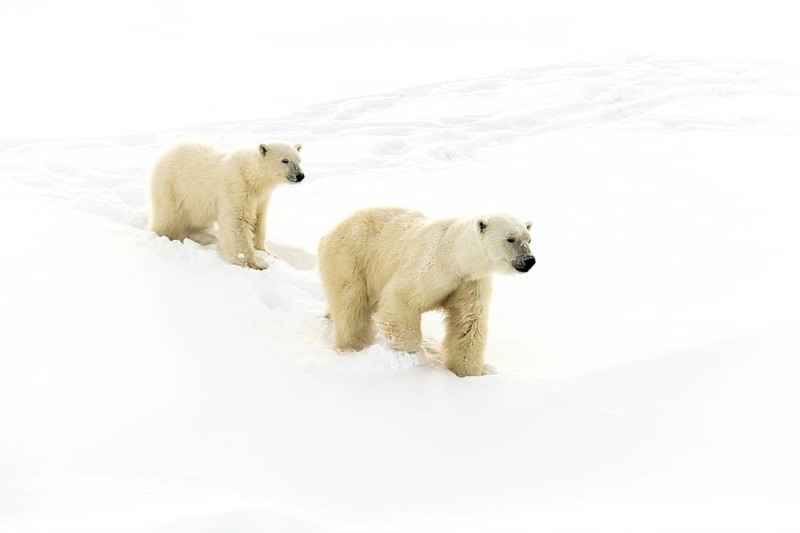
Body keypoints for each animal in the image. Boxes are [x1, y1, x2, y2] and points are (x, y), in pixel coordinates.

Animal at [149, 141, 304, 269]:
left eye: (299, 160)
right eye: (285, 160)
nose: (300, 176)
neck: (251, 176)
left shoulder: (261, 198)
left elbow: (258, 221)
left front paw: (266, 252)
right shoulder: (237, 187)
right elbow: (237, 220)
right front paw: (253, 263)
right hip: (172, 188)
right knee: (169, 219)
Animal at [318, 207, 535, 377]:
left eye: (529, 239)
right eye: (510, 239)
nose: (529, 260)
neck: (455, 255)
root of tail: (333, 230)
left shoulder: (469, 282)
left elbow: (468, 322)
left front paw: (468, 373)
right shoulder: (430, 268)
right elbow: (400, 299)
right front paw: (411, 355)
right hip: (351, 256)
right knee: (350, 303)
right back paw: (351, 346)